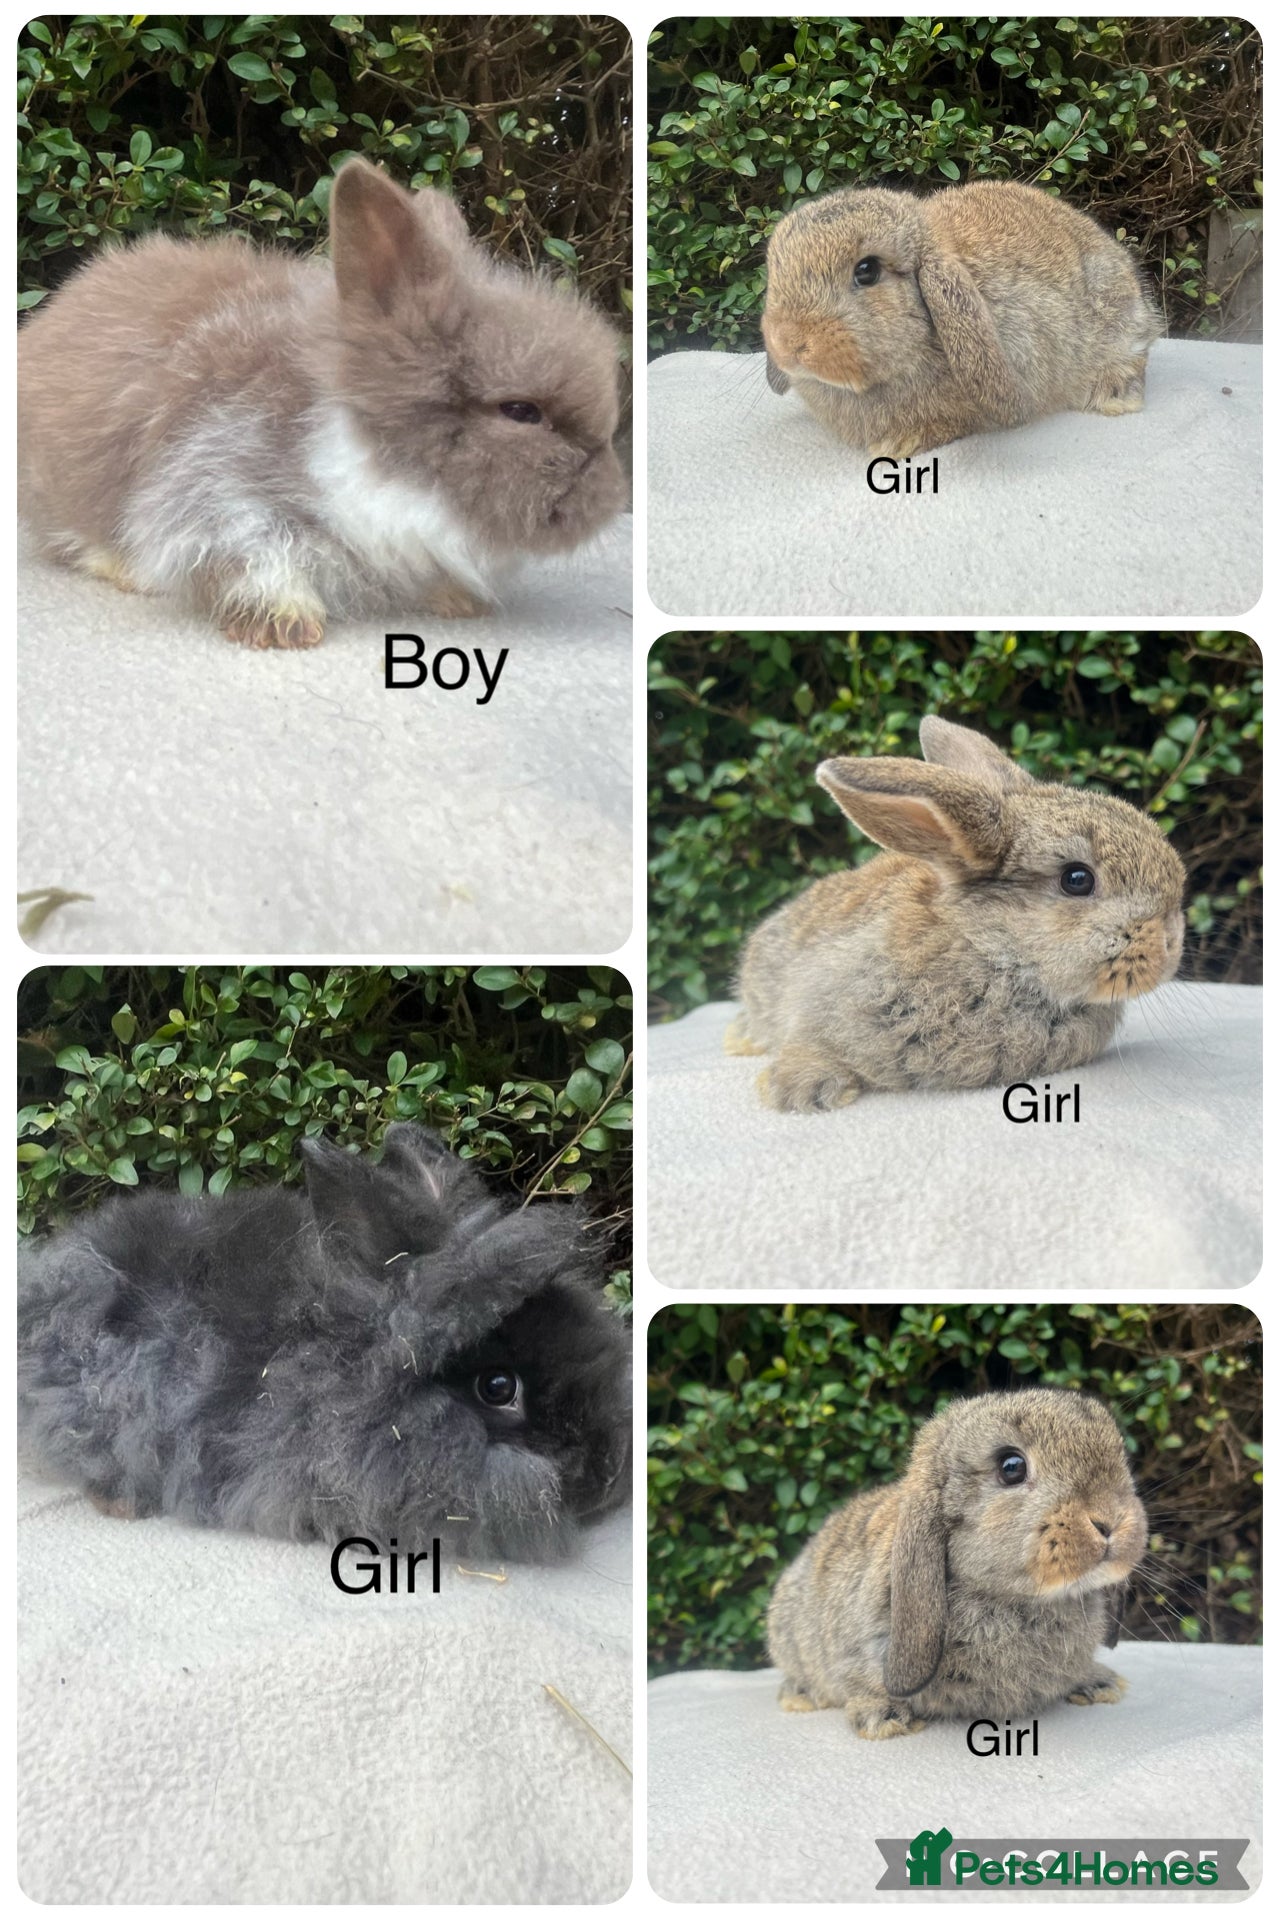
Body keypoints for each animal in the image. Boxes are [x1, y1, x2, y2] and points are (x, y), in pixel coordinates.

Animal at [17, 158, 625, 648]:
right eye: (521, 411)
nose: (611, 497)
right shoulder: (218, 486)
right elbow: (252, 557)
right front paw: (283, 626)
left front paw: (458, 601)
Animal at [762, 179, 1161, 458]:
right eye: (776, 268)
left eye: (866, 271)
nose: (788, 343)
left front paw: (900, 444)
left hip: (1119, 320)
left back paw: (1116, 396)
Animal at [767, 1388, 1148, 1739]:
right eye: (1012, 1467)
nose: (1111, 1520)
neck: (1021, 1602)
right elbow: (861, 1682)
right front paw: (884, 1720)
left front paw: (1097, 1683)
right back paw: (802, 1696)